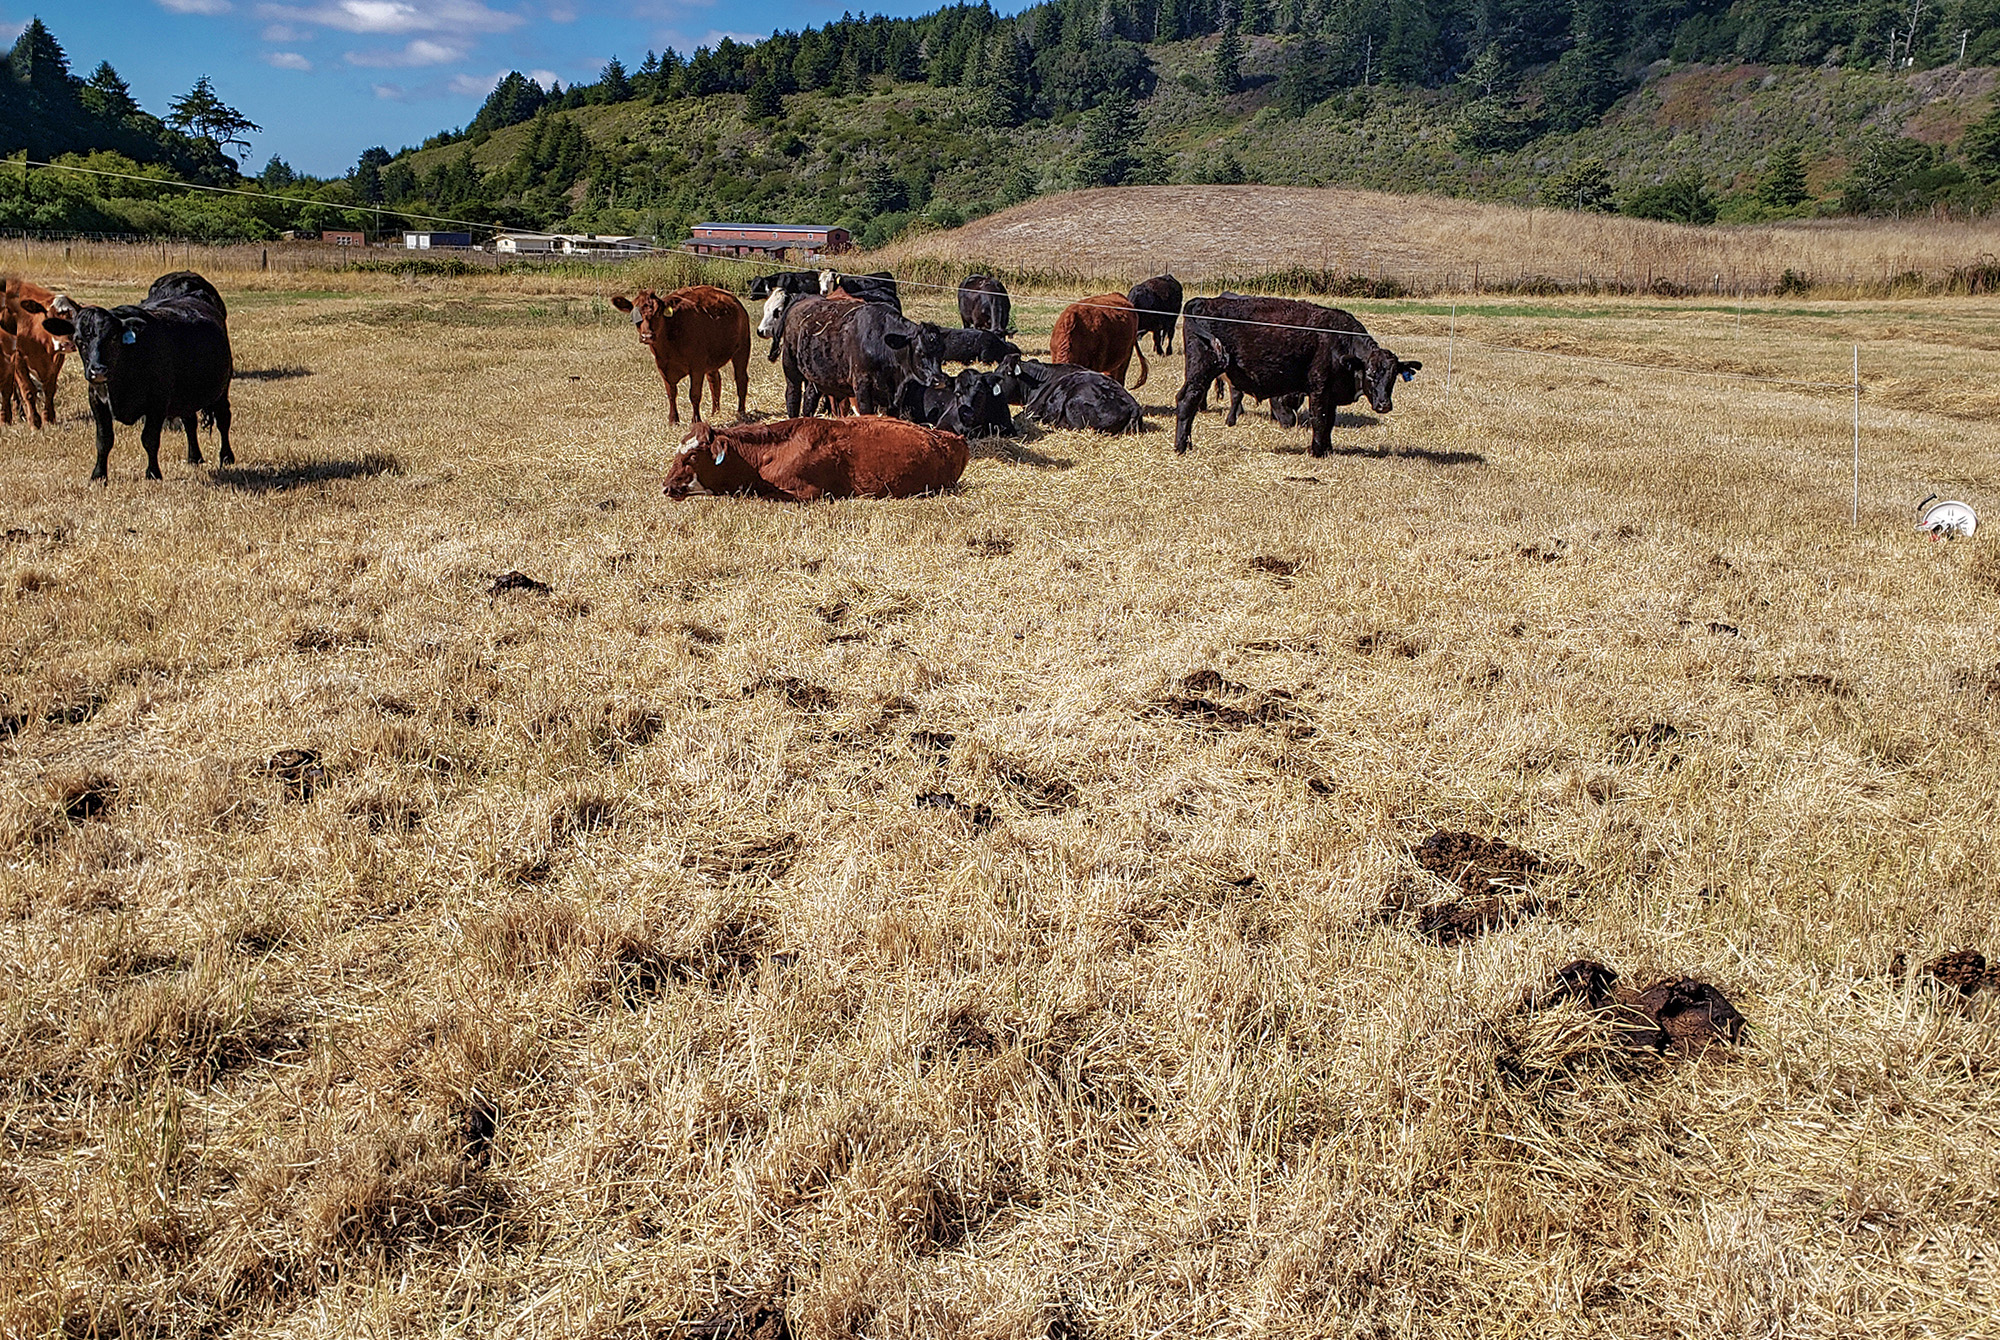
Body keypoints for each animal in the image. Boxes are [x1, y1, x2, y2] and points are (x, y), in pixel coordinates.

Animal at [35, 272, 234, 484]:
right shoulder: (96, 400)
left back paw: (226, 456)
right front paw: (99, 474)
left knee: (223, 419)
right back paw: (194, 457)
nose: (98, 371)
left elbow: (149, 439)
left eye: (113, 337)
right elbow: (103, 440)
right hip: (186, 396)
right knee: (190, 421)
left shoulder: (157, 404)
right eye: (79, 340)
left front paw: (153, 473)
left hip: (222, 390)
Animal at [608, 284, 752, 426]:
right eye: (636, 315)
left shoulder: (697, 367)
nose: (647, 336)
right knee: (715, 381)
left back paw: (741, 413)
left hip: (742, 348)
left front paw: (696, 420)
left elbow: (694, 394)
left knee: (741, 380)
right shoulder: (662, 367)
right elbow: (671, 393)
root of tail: (733, 299)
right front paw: (673, 420)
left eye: (658, 313)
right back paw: (715, 413)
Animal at [1168, 296, 1424, 460]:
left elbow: (1329, 422)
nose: (1384, 405)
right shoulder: (1319, 388)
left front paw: (1327, 449)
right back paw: (1181, 447)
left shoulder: (1331, 394)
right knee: (1187, 401)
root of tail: (1200, 302)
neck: (1340, 343)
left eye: (1393, 377)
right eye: (1370, 374)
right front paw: (1317, 452)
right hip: (1200, 372)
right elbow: (1319, 420)